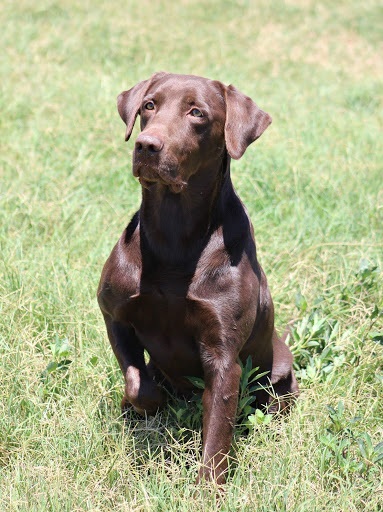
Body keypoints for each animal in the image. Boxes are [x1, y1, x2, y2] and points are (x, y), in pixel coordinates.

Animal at [97, 72, 298, 484]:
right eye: (149, 105)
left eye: (197, 113)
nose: (146, 145)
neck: (175, 235)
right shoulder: (114, 313)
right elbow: (138, 383)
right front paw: (147, 404)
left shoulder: (222, 354)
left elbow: (218, 428)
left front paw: (210, 487)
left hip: (280, 376)